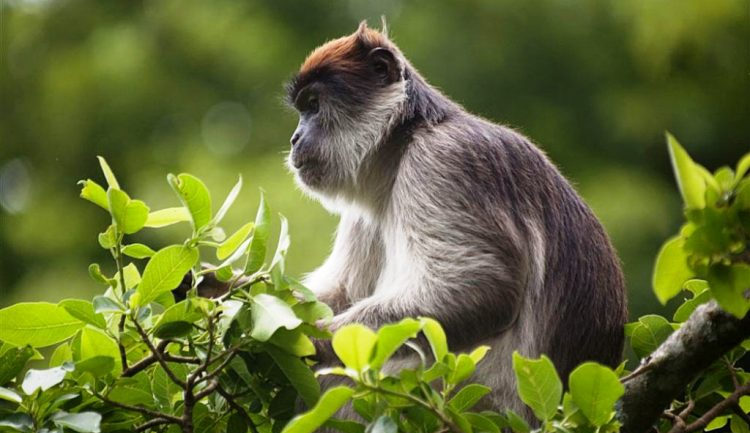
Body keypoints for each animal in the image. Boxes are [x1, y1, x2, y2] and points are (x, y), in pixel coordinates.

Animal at [283, 21, 628, 421]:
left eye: (313, 106)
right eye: (302, 109)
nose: (294, 138)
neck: (404, 140)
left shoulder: (444, 160)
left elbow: (484, 284)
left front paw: (311, 341)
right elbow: (344, 292)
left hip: (478, 397)